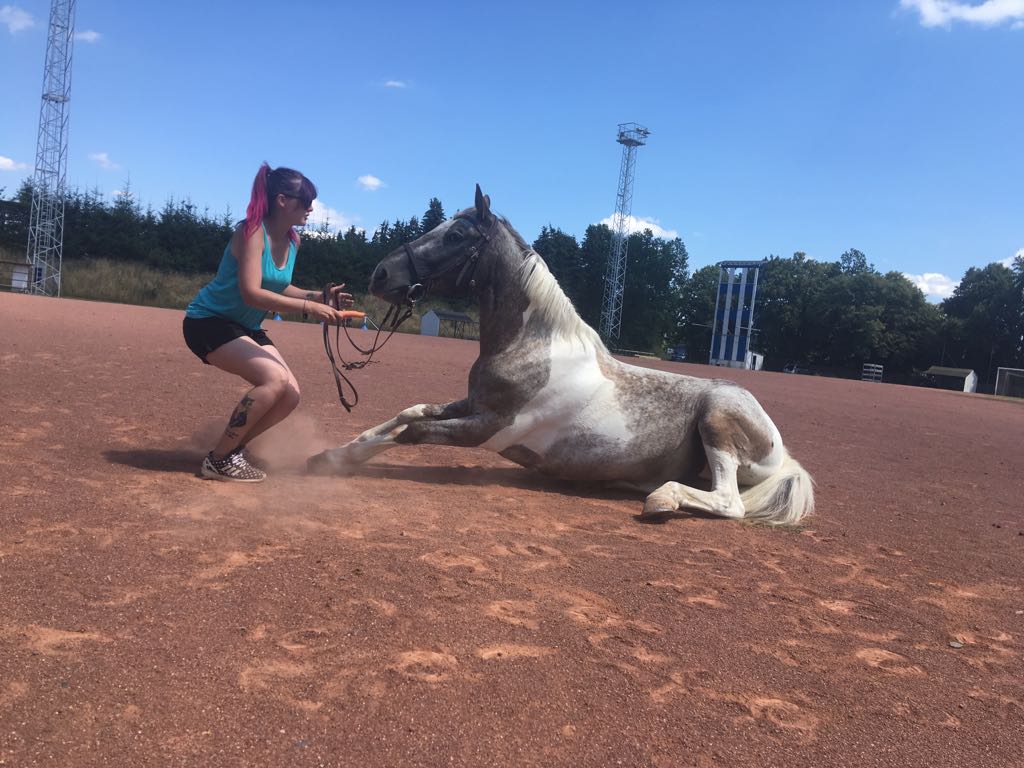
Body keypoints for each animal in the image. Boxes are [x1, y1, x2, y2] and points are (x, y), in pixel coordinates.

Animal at [308, 186, 814, 525]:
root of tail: (780, 450)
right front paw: (331, 456)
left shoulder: (488, 428)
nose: (380, 274)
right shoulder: (471, 404)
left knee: (729, 502)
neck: (532, 346)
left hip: (718, 418)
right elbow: (407, 414)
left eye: (456, 235)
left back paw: (662, 500)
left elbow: (411, 431)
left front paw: (333, 462)